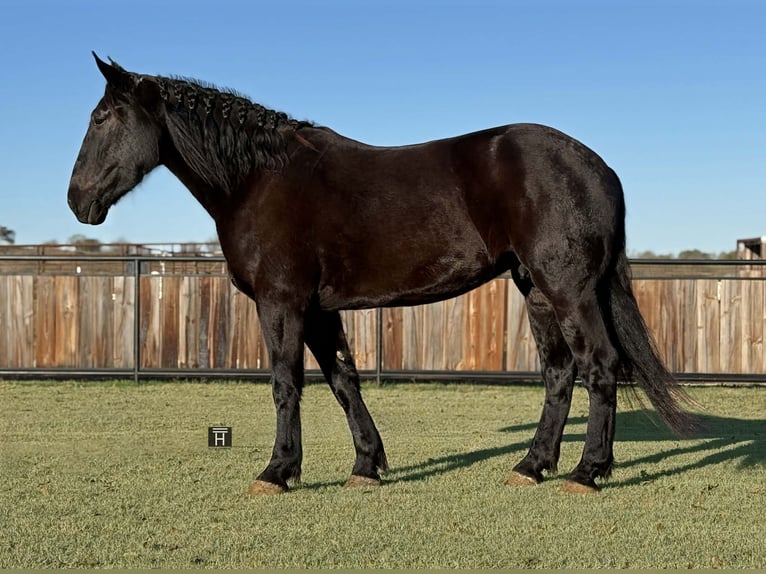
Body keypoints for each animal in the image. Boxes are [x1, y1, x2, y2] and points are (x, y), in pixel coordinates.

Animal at [68, 53, 697, 495]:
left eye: (103, 117)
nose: (78, 200)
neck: (260, 179)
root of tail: (599, 166)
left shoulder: (281, 303)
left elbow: (286, 384)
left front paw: (277, 472)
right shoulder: (319, 309)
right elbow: (343, 381)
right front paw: (366, 465)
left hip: (569, 290)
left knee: (600, 366)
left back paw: (587, 472)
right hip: (535, 289)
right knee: (560, 373)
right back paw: (532, 465)